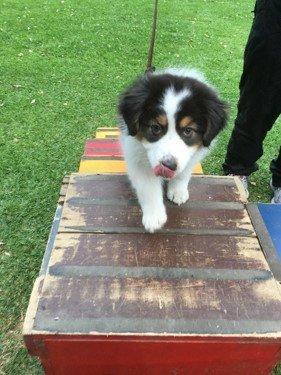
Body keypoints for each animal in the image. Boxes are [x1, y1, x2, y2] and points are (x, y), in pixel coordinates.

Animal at [117, 67, 226, 232]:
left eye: (188, 130)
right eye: (155, 127)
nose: (168, 165)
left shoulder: (190, 156)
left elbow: (184, 172)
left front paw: (178, 191)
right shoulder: (137, 157)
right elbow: (147, 187)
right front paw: (154, 217)